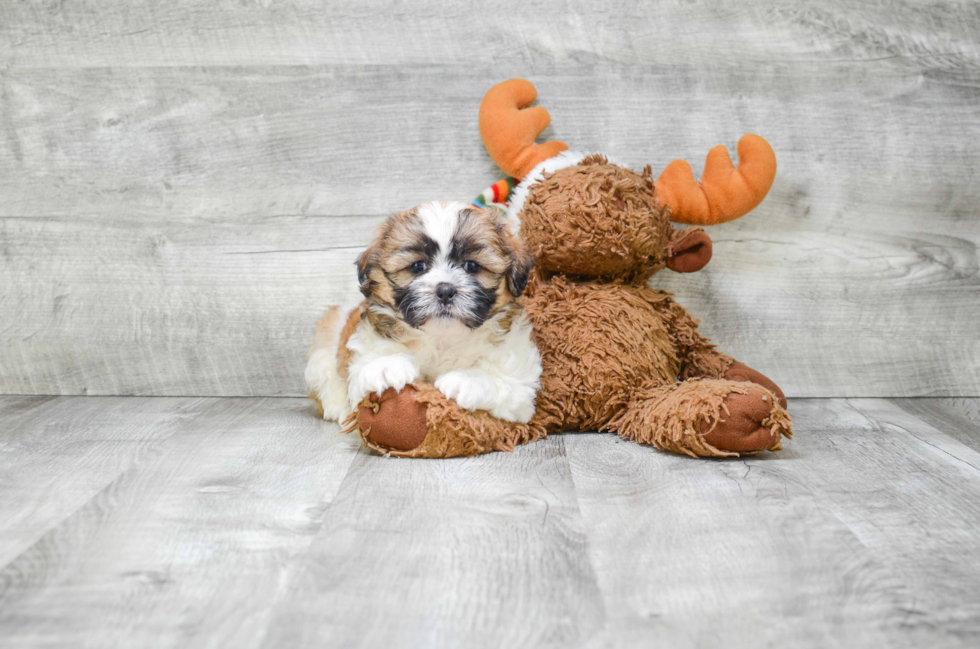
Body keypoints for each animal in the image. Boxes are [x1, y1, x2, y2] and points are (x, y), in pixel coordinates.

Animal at [304, 202, 540, 426]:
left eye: (472, 266)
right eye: (418, 266)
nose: (445, 290)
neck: (442, 339)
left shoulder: (518, 375)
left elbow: (504, 380)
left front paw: (467, 380)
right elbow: (370, 362)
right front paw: (387, 366)